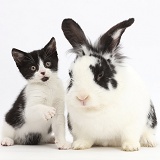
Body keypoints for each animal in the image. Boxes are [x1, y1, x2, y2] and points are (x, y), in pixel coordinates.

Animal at [61, 18, 158, 151]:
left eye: (100, 74)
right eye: (71, 74)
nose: (82, 97)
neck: (97, 109)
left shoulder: (132, 124)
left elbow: (130, 136)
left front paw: (131, 147)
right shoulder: (80, 129)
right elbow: (84, 138)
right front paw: (79, 145)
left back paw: (150, 142)